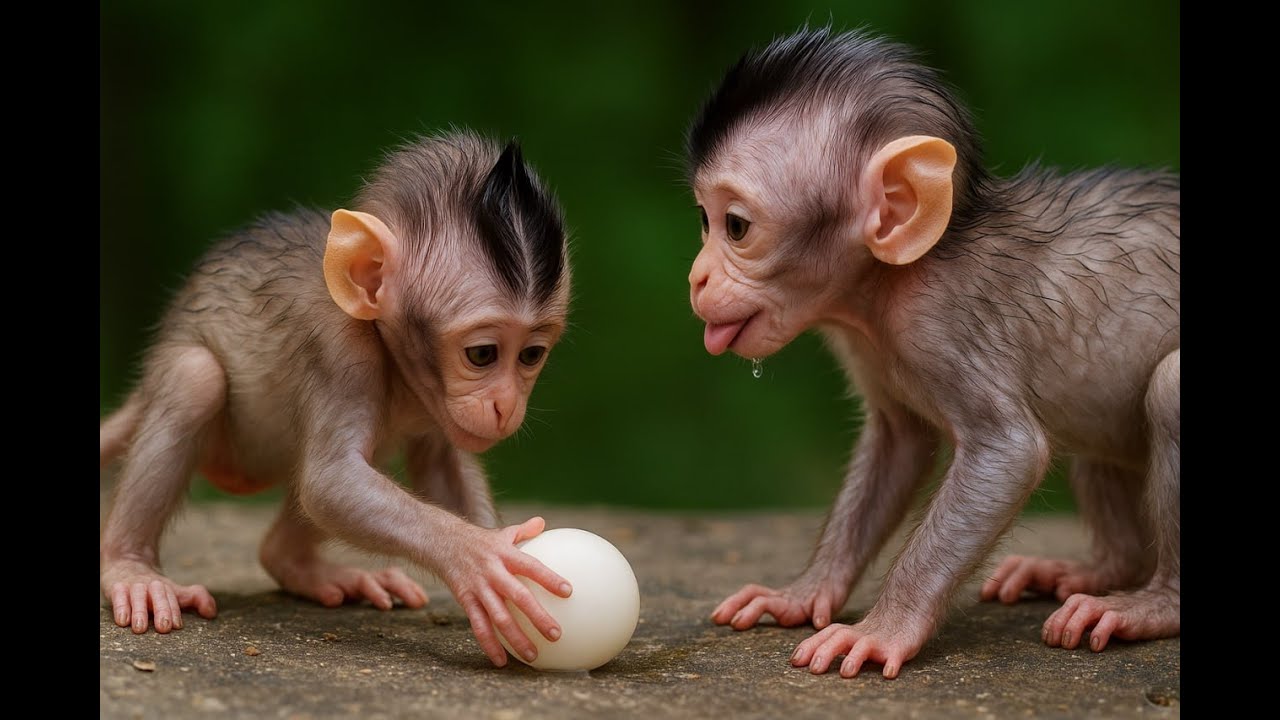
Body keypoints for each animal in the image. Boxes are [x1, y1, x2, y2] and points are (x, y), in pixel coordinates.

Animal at [99, 131, 577, 668]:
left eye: (531, 355)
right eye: (482, 354)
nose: (505, 405)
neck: (385, 342)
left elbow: (437, 467)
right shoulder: (341, 348)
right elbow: (329, 483)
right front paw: (479, 557)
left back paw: (297, 563)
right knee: (194, 378)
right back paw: (131, 570)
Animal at [685, 27, 1178, 679]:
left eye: (736, 227)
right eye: (705, 220)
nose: (696, 277)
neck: (890, 284)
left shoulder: (941, 324)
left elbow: (1009, 451)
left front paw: (882, 630)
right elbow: (899, 442)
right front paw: (801, 594)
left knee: (1168, 387)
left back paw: (1152, 605)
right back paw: (1100, 570)